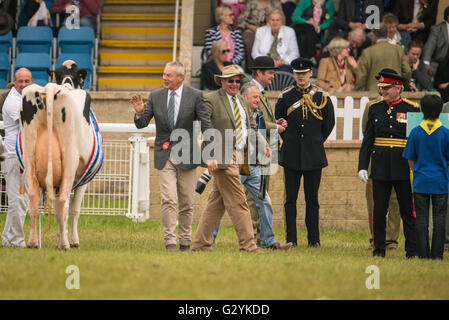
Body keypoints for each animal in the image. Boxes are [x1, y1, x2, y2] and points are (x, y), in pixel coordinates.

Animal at [18, 79, 102, 249]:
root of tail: (50, 87)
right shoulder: (83, 182)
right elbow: (74, 210)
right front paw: (73, 241)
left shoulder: (57, 183)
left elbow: (57, 212)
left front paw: (58, 238)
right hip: (70, 157)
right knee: (64, 201)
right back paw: (65, 245)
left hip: (29, 156)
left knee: (33, 198)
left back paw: (33, 242)